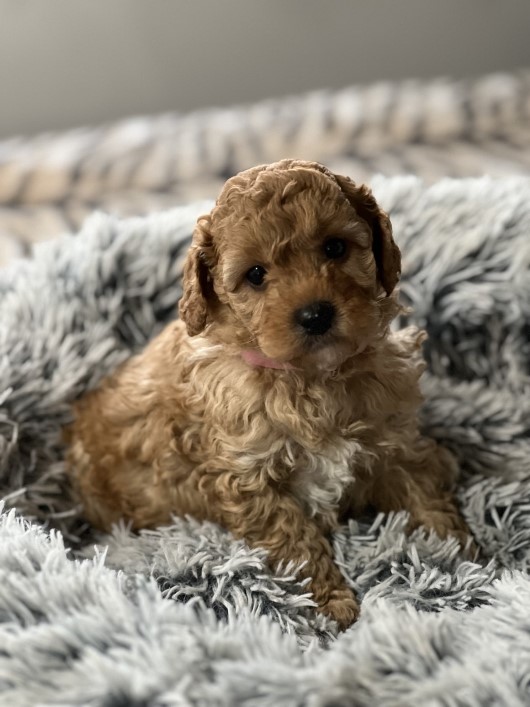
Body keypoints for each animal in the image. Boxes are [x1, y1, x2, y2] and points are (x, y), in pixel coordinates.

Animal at [67, 159, 470, 632]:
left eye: (335, 247)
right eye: (256, 275)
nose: (315, 315)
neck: (311, 378)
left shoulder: (394, 436)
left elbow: (422, 487)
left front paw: (457, 550)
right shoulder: (250, 480)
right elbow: (295, 541)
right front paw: (331, 604)